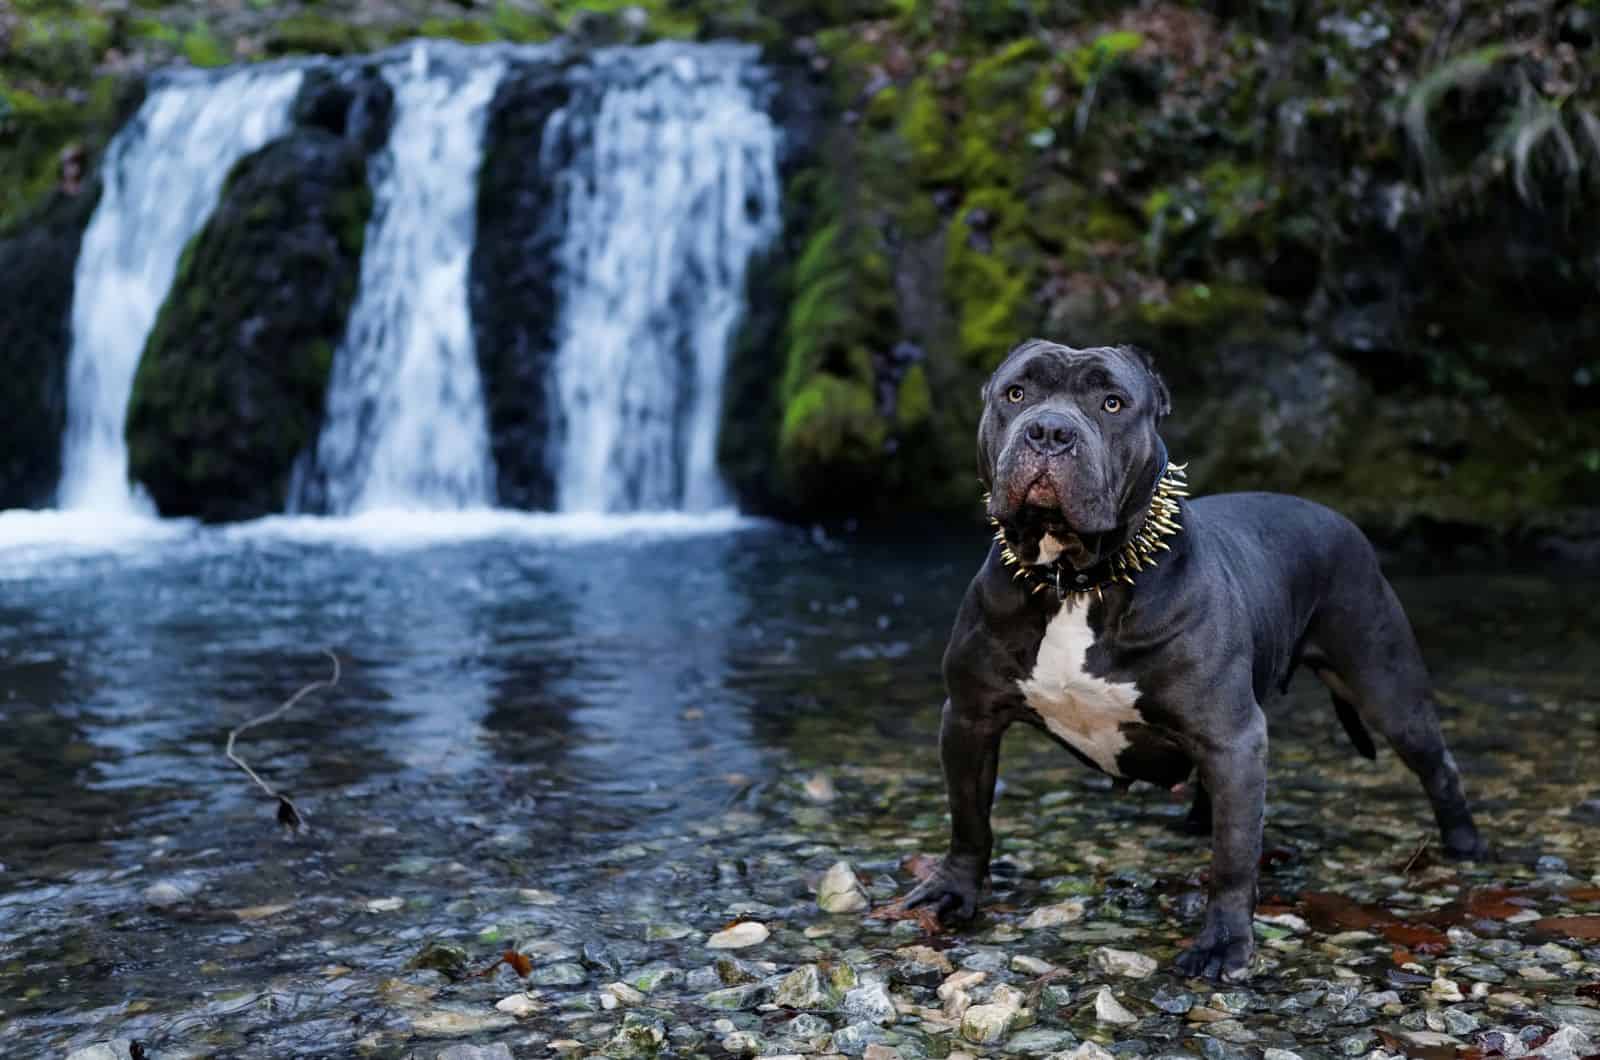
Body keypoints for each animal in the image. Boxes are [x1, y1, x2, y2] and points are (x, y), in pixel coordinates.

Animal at [902, 337, 1484, 979]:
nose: (1050, 431)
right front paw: (952, 892)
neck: (1075, 579)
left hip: (1385, 683)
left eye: (1112, 402)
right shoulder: (969, 717)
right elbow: (969, 820)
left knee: (1437, 764)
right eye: (1016, 393)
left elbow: (1233, 859)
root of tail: (1337, 517)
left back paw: (1464, 845)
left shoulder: (1232, 735)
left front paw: (1224, 943)